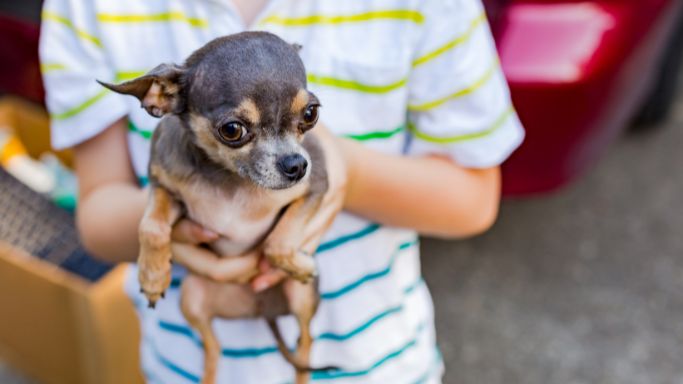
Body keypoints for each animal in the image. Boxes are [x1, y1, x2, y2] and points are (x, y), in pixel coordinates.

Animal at [99, 32, 344, 384]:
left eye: (311, 113)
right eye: (232, 130)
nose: (296, 165)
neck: (229, 178)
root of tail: (260, 311)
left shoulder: (317, 185)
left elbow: (276, 243)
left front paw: (299, 265)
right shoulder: (164, 188)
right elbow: (151, 226)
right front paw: (153, 275)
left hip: (304, 298)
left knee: (306, 344)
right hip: (192, 298)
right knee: (214, 347)